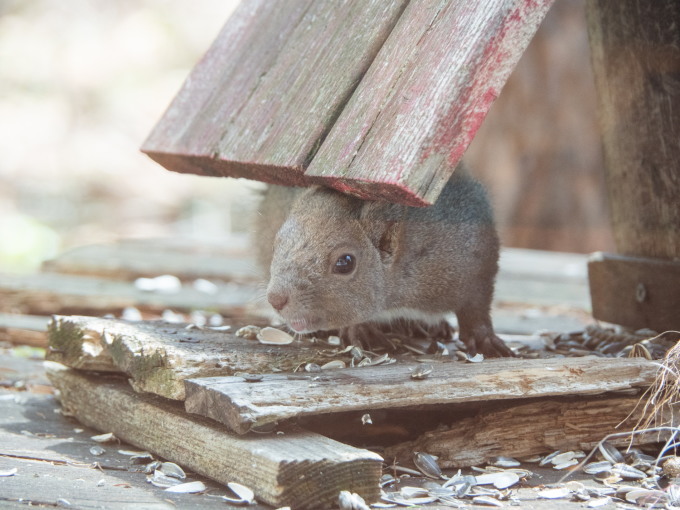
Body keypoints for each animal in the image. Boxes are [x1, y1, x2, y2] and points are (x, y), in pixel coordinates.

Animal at [252, 165, 512, 356]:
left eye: (345, 262)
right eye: (276, 245)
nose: (276, 299)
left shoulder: (475, 259)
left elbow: (476, 306)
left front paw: (485, 340)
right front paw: (361, 330)